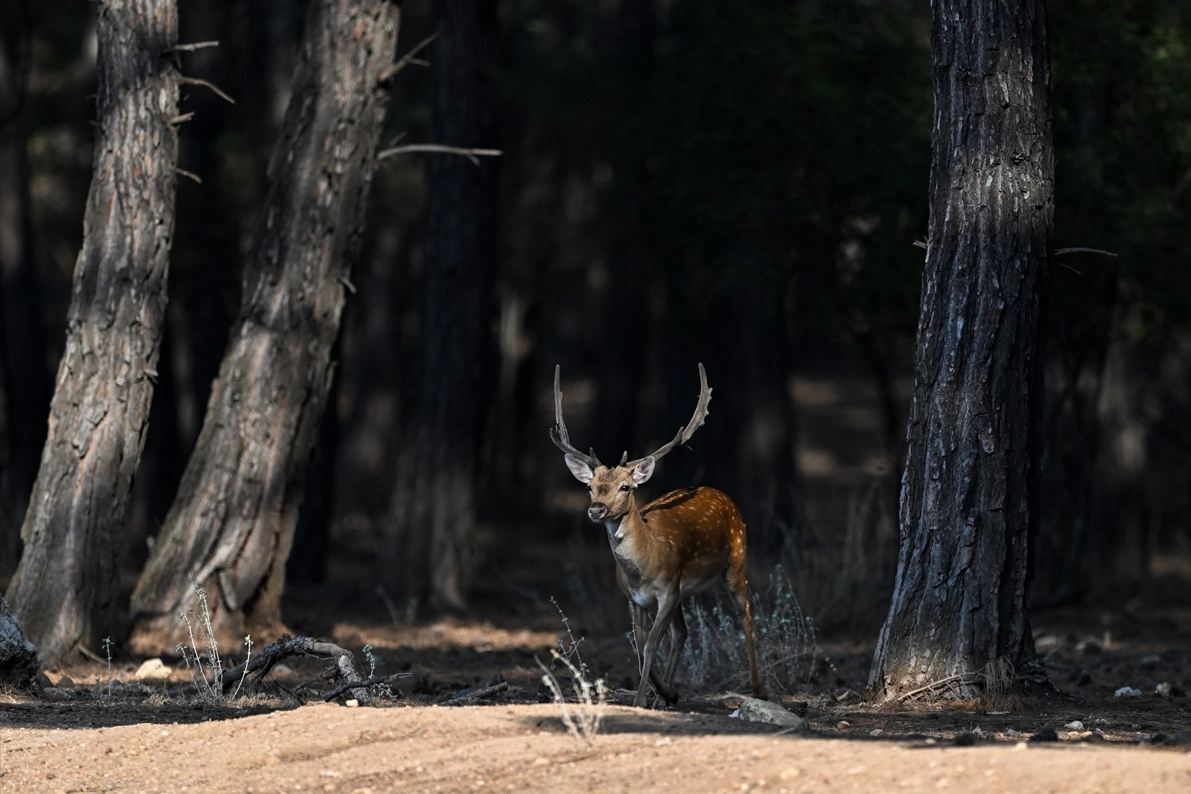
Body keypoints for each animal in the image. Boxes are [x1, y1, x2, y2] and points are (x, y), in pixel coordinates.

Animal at [552, 366, 767, 709]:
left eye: (625, 486)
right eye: (590, 486)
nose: (597, 509)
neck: (643, 567)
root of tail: (722, 493)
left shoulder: (667, 592)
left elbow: (651, 646)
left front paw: (641, 700)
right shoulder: (635, 599)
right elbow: (640, 650)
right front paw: (662, 691)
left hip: (736, 558)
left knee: (746, 614)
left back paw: (759, 690)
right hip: (683, 590)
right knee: (683, 633)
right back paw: (669, 692)